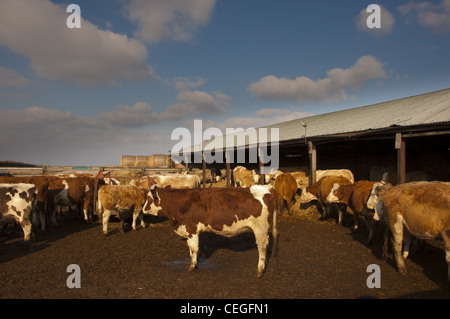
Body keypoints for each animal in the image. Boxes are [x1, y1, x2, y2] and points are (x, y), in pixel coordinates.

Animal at [143, 185, 278, 278]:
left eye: (149, 198)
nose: (143, 209)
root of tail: (267, 187)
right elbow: (190, 248)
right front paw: (194, 263)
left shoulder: (191, 229)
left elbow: (194, 248)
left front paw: (192, 266)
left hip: (260, 229)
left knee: (261, 247)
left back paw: (260, 269)